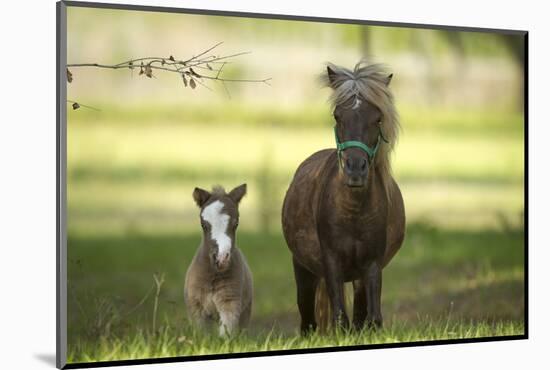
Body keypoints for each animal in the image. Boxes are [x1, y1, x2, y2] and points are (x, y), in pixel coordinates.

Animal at [284, 60, 406, 332]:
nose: (355, 169)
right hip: (303, 270)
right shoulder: (331, 261)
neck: (354, 211)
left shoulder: (371, 264)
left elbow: (372, 318)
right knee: (308, 321)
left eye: (378, 118)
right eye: (337, 116)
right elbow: (340, 317)